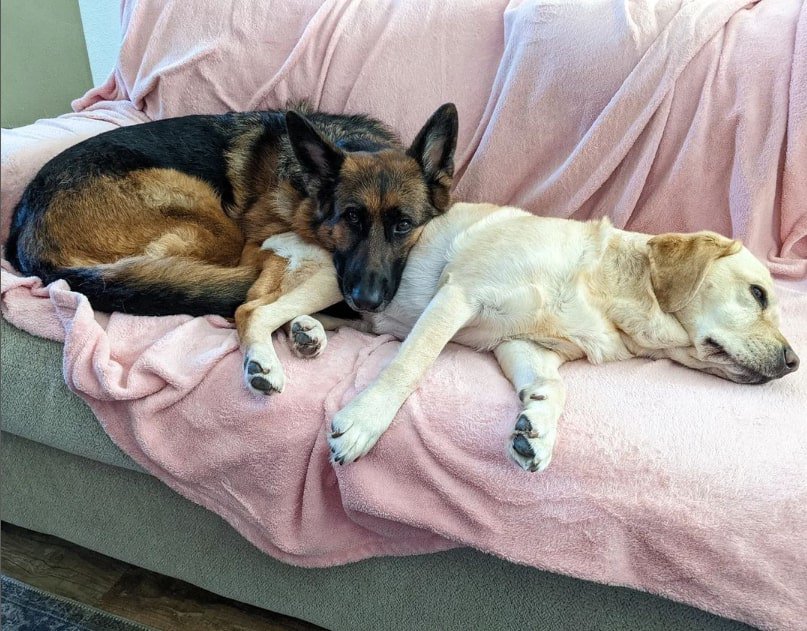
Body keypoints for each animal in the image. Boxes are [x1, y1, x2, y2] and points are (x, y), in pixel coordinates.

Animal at [4, 103, 460, 390]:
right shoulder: (263, 239)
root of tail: (28, 238)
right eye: (351, 219)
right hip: (220, 228)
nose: (367, 300)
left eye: (403, 226)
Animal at [248, 202, 800, 474]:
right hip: (330, 279)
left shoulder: (523, 345)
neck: (605, 291)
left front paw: (538, 427)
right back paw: (262, 365)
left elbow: (554, 387)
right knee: (252, 311)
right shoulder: (459, 296)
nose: (794, 362)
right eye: (757, 294)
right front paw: (364, 422)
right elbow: (408, 366)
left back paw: (307, 335)